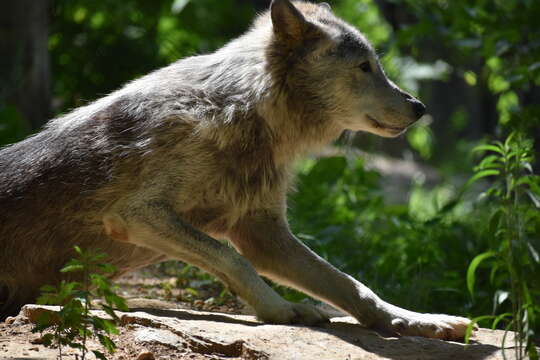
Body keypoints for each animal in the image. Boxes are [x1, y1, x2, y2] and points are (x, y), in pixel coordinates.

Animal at [0, 0, 470, 338]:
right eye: (364, 67)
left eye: (377, 64)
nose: (419, 107)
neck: (242, 112)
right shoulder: (136, 215)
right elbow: (232, 259)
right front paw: (279, 308)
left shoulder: (263, 233)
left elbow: (353, 285)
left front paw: (419, 320)